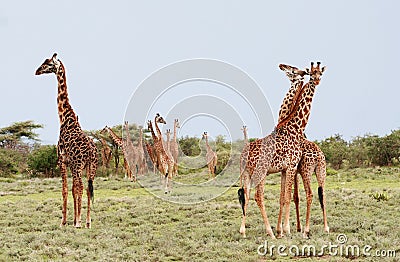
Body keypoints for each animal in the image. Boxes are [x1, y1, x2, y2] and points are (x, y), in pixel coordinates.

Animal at [35, 53, 97, 229]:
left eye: (48, 63)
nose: (37, 71)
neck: (64, 118)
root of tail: (91, 151)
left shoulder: (62, 159)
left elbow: (65, 189)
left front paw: (65, 221)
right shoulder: (69, 162)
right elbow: (72, 189)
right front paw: (75, 219)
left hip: (78, 165)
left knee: (81, 186)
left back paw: (80, 222)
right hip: (92, 166)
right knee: (88, 188)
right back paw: (88, 222)